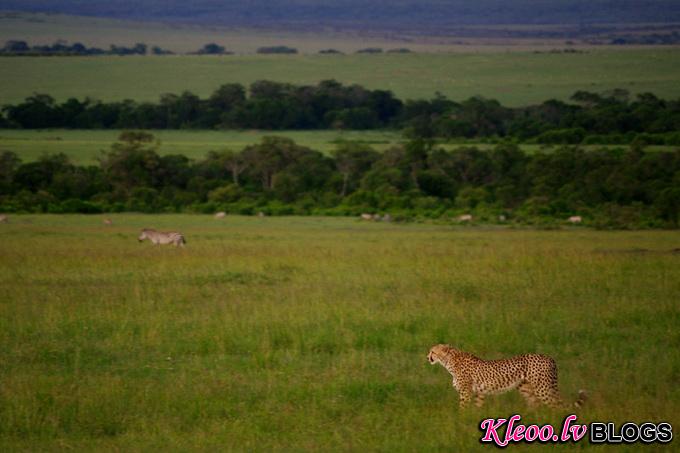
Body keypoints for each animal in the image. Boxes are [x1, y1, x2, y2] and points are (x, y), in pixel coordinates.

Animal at [428, 342, 588, 410]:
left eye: (433, 351)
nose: (427, 356)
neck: (449, 360)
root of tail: (549, 357)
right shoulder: (480, 392)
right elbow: (477, 408)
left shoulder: (466, 392)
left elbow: (463, 408)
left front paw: (461, 421)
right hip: (526, 388)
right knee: (535, 405)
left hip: (542, 388)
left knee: (556, 405)